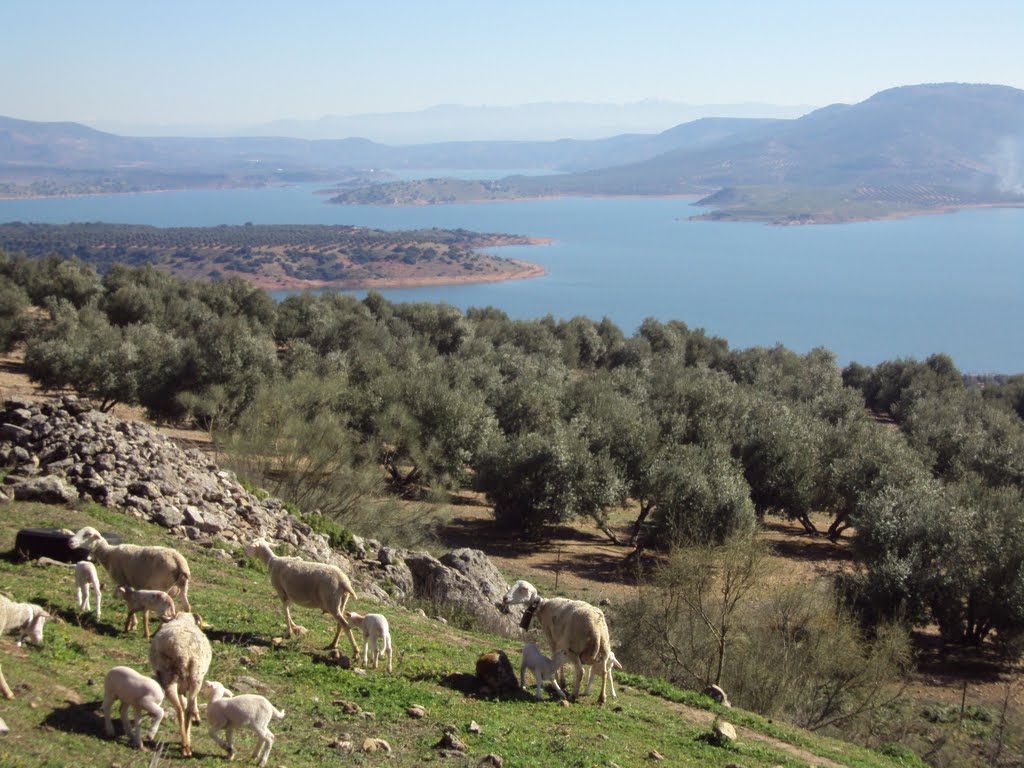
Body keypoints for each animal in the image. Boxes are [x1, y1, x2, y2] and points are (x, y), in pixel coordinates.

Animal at [149, 614, 210, 757]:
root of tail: (185, 655)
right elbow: (188, 702)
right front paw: (197, 717)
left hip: (168, 679)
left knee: (180, 710)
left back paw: (185, 746)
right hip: (196, 678)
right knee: (187, 710)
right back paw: (187, 745)